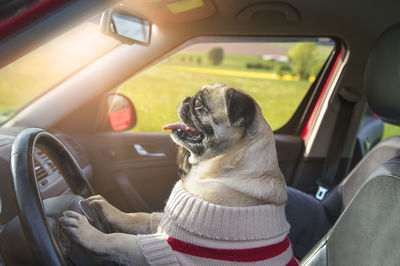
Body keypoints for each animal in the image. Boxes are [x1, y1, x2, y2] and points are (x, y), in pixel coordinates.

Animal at [61, 84, 296, 266]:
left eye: (199, 105)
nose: (186, 99)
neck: (223, 167)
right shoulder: (165, 221)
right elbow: (138, 217)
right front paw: (106, 208)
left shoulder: (163, 248)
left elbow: (118, 240)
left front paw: (87, 232)